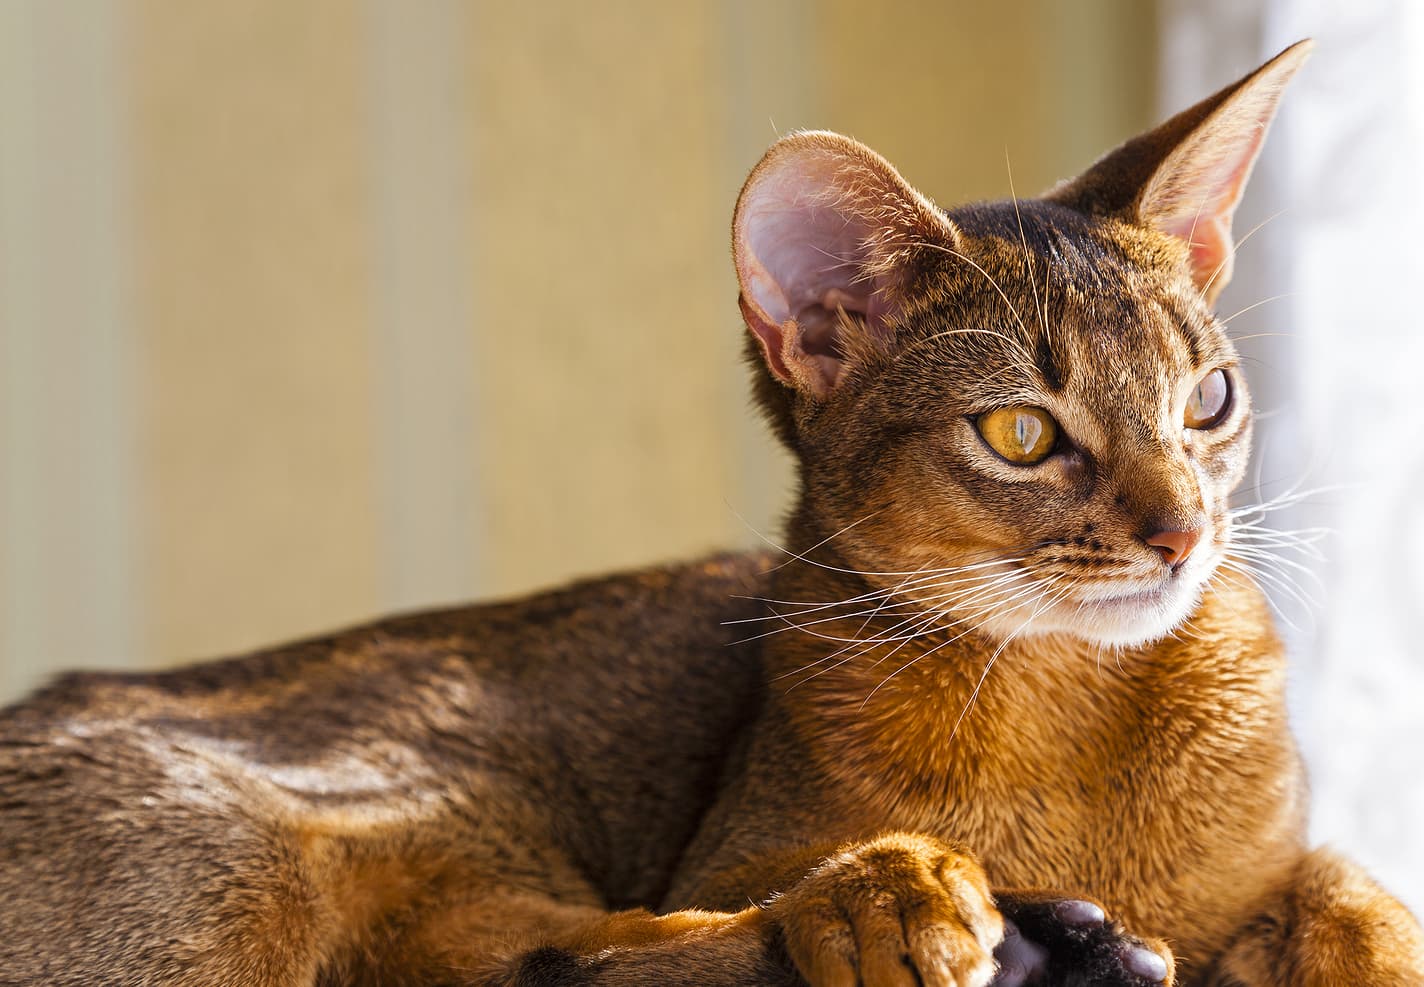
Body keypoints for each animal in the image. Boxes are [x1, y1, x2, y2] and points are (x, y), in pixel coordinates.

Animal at [2, 38, 1424, 985]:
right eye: (1020, 433)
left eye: (1208, 400)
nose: (1182, 535)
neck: (1078, 721)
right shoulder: (724, 851)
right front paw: (882, 896)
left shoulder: (1289, 853)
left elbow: (1351, 886)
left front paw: (1355, 943)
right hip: (269, 865)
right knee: (560, 968)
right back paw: (973, 926)